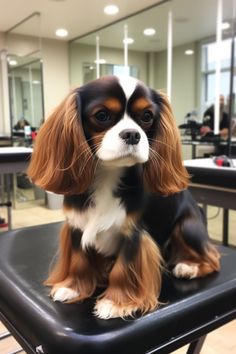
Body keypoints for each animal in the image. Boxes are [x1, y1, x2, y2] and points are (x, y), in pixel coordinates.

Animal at [28, 76, 221, 320]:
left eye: (147, 116)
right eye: (102, 115)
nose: (132, 134)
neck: (108, 176)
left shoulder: (133, 234)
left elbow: (122, 269)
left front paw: (115, 302)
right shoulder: (76, 227)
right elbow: (79, 261)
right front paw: (72, 288)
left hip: (188, 227)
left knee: (213, 257)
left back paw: (189, 267)